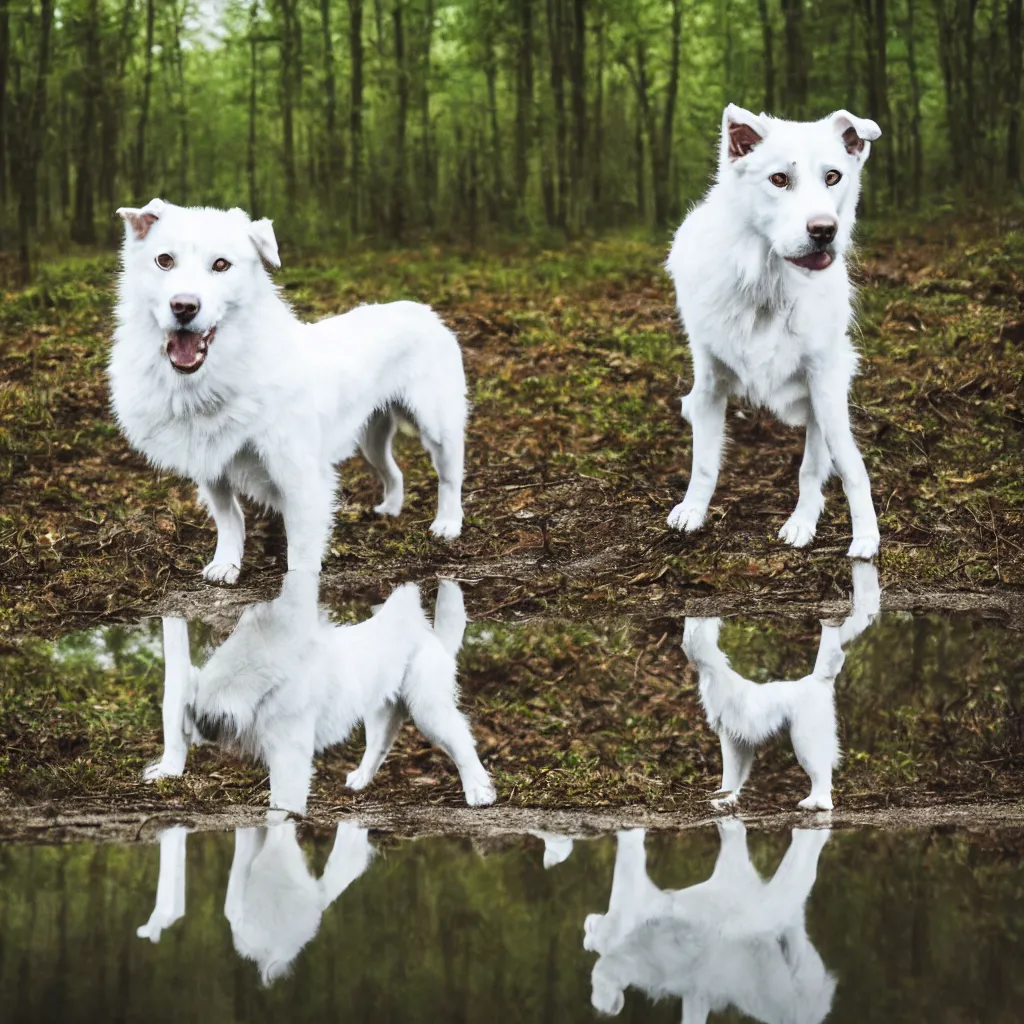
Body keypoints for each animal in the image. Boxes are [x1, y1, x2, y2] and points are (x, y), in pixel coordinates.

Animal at [109, 199, 468, 585]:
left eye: (221, 264)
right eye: (164, 260)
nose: (184, 307)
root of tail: (423, 310)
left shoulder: (299, 474)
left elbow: (301, 550)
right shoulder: (211, 466)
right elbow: (229, 518)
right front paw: (226, 564)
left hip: (438, 425)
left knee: (450, 476)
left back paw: (448, 524)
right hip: (371, 438)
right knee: (394, 471)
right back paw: (390, 509)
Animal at [149, 577, 495, 806]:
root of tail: (431, 637)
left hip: (428, 708)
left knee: (461, 741)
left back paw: (479, 792)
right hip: (380, 709)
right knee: (379, 745)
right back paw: (359, 781)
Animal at [679, 557, 880, 811]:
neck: (713, 673)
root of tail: (815, 681)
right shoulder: (736, 740)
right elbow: (735, 774)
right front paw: (726, 798)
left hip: (806, 735)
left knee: (821, 771)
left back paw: (820, 803)